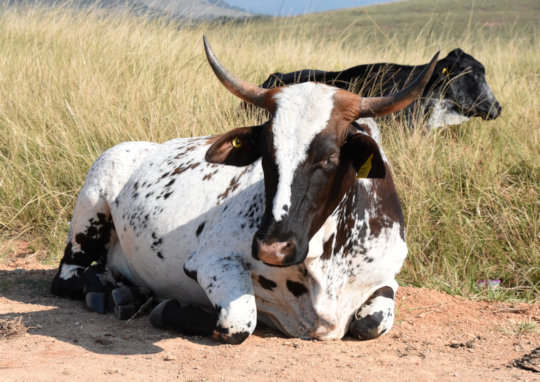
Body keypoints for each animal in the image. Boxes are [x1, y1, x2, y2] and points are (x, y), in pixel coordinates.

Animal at [49, 37, 438, 344]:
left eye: (329, 157)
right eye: (266, 150)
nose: (272, 247)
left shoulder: (386, 277)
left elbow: (372, 322)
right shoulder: (212, 260)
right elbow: (239, 321)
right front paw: (168, 307)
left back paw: (130, 290)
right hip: (90, 207)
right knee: (68, 276)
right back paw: (112, 294)